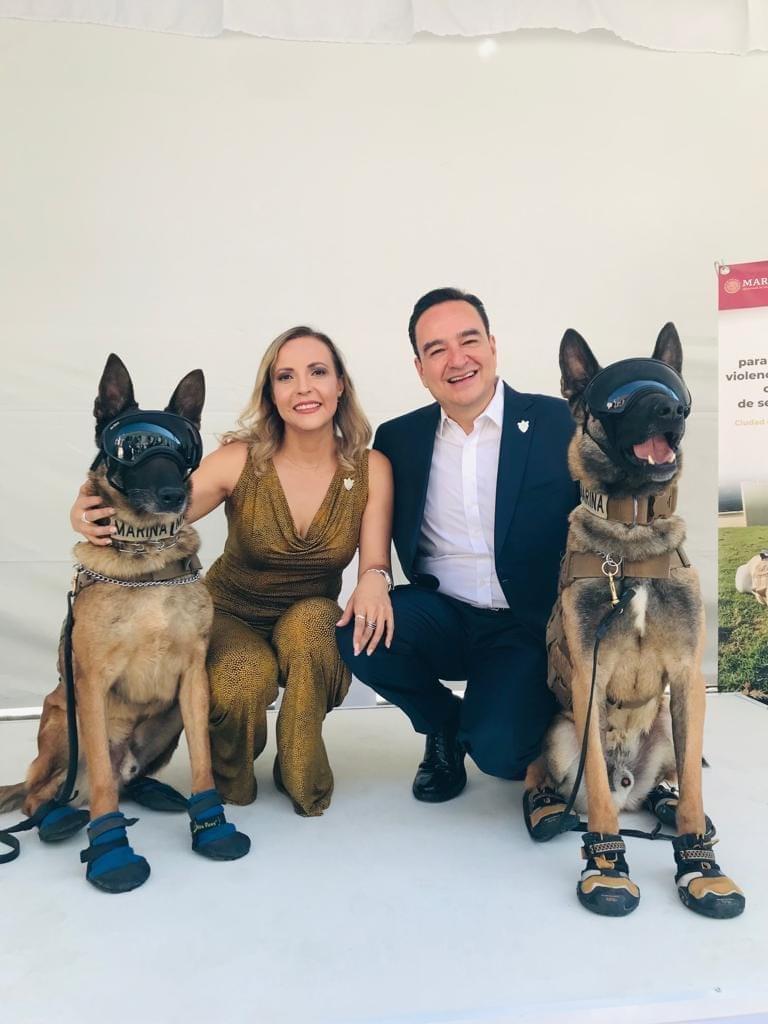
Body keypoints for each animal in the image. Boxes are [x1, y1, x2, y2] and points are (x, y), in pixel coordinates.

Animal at [0, 356, 249, 892]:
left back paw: (154, 792)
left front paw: (211, 826)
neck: (146, 555)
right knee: (45, 794)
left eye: (184, 449)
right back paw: (57, 818)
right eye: (132, 446)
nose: (173, 494)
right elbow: (100, 790)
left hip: (170, 717)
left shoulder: (194, 678)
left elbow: (204, 764)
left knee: (125, 782)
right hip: (62, 718)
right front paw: (111, 851)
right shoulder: (91, 686)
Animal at [524, 325, 745, 921]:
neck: (632, 532)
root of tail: (632, 786)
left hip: (668, 724)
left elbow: (692, 784)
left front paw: (699, 863)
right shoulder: (589, 679)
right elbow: (596, 792)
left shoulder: (688, 682)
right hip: (561, 730)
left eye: (674, 389)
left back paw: (664, 803)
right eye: (620, 399)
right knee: (556, 775)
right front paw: (607, 865)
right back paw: (552, 806)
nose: (670, 409)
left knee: (668, 781)